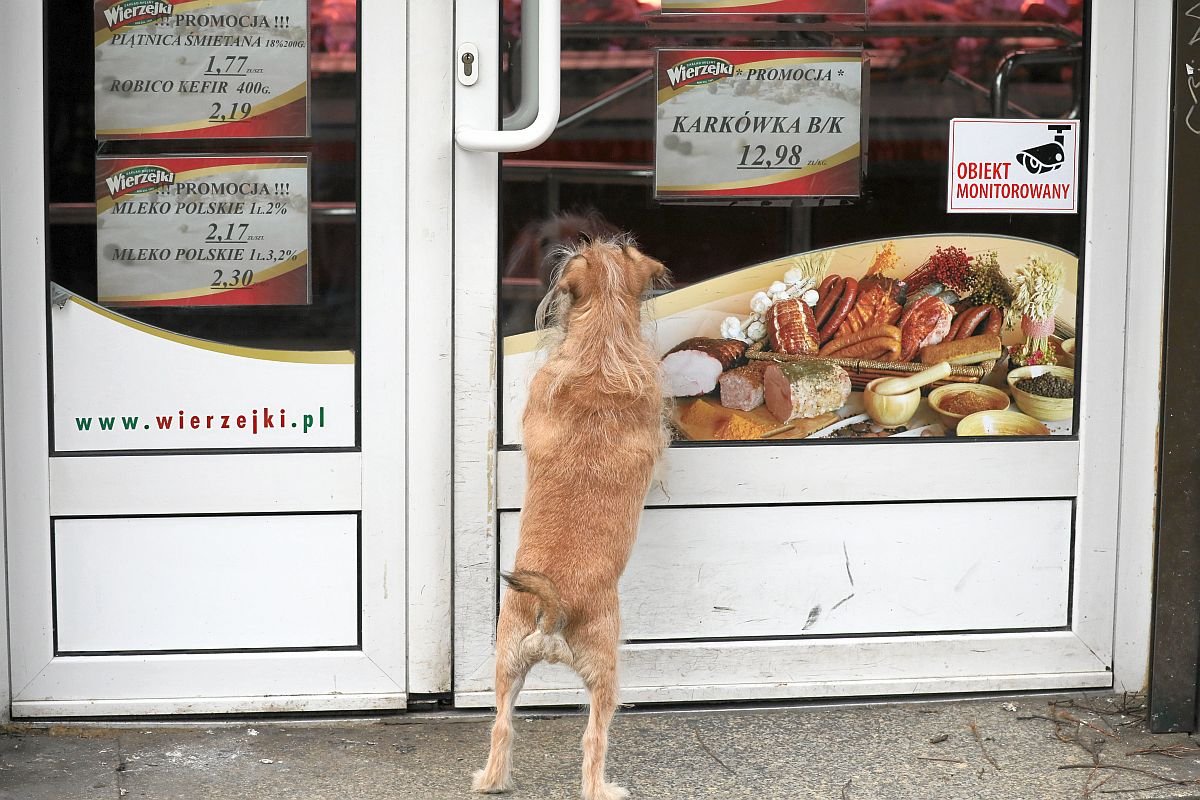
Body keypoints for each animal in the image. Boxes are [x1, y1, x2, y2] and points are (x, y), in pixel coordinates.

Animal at [472, 237, 672, 800]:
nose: (576, 242)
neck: (601, 342)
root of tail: (552, 610)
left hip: (506, 663)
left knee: (501, 727)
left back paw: (490, 780)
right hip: (606, 672)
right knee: (593, 740)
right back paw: (603, 789)